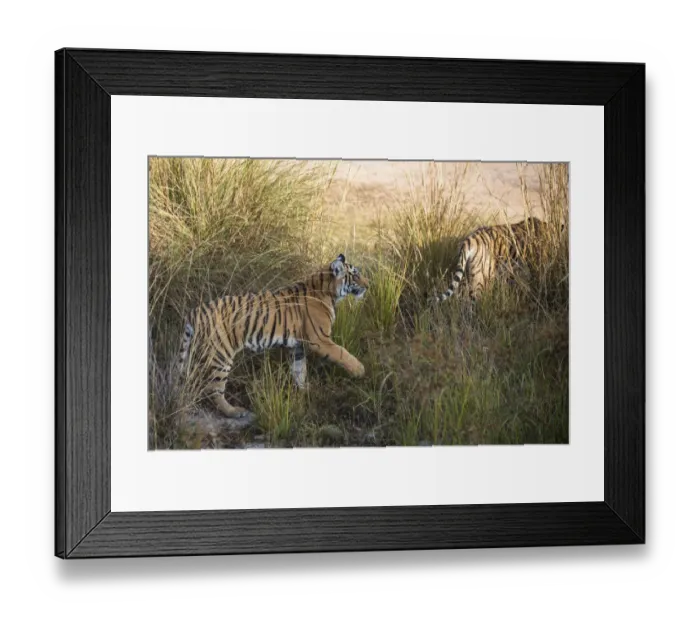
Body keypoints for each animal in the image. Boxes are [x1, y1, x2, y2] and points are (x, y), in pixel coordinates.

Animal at [177, 254, 369, 418]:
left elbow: (300, 370)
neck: (329, 292)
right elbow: (343, 353)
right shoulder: (319, 340)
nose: (368, 285)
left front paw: (305, 390)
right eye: (355, 275)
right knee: (214, 389)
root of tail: (194, 312)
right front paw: (360, 370)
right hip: (220, 354)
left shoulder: (297, 346)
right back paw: (234, 411)